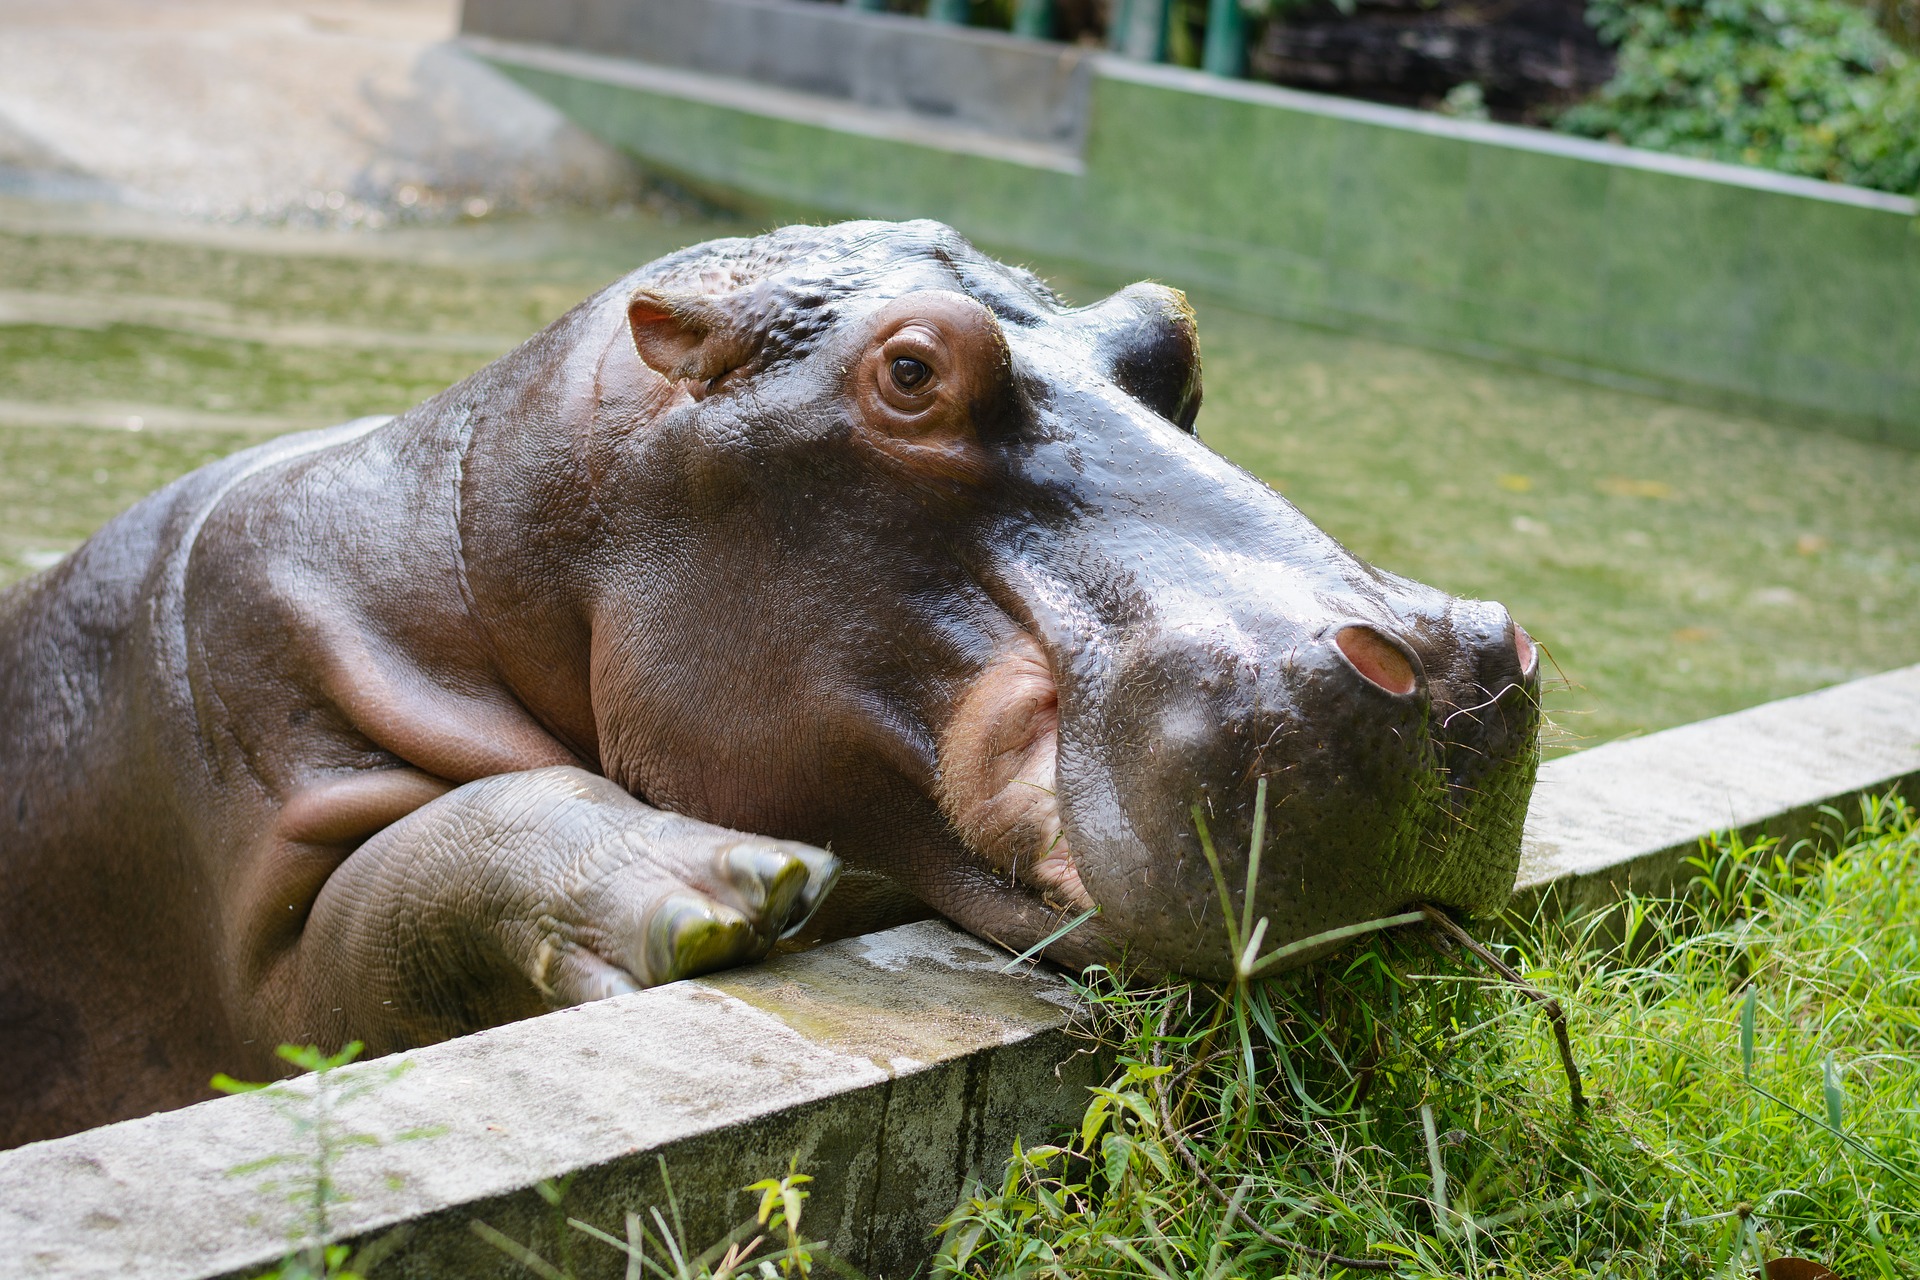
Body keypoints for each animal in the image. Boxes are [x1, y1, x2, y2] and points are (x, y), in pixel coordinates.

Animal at [0, 220, 1538, 1148]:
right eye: (911, 369)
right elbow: (392, 898)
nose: (1449, 667)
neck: (493, 542)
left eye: (1173, 337)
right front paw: (723, 892)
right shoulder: (257, 808)